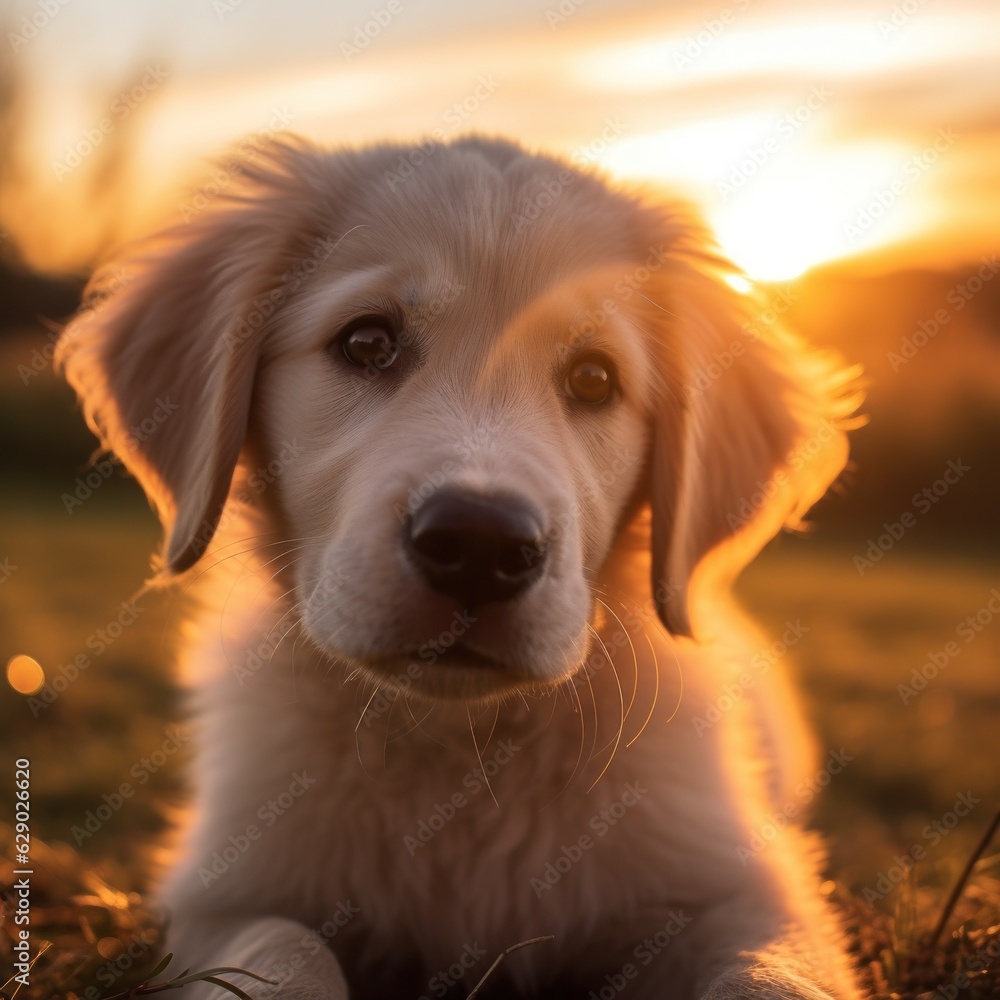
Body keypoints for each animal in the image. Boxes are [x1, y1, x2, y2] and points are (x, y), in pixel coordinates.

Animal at [58, 135, 864, 1000]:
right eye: (367, 342)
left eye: (594, 377)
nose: (480, 544)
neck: (460, 751)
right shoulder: (221, 896)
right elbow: (282, 950)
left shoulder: (752, 892)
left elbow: (771, 979)